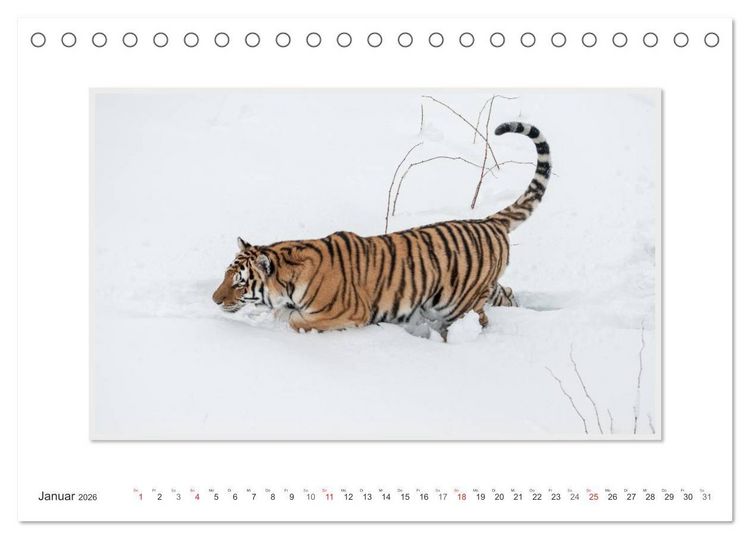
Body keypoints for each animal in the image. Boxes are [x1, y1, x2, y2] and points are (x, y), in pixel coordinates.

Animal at [212, 121, 551, 340]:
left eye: (240, 283)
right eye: (226, 275)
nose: (214, 300)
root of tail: (487, 222)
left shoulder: (345, 313)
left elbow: (298, 322)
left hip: (458, 302)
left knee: (477, 320)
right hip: (481, 287)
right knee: (507, 293)